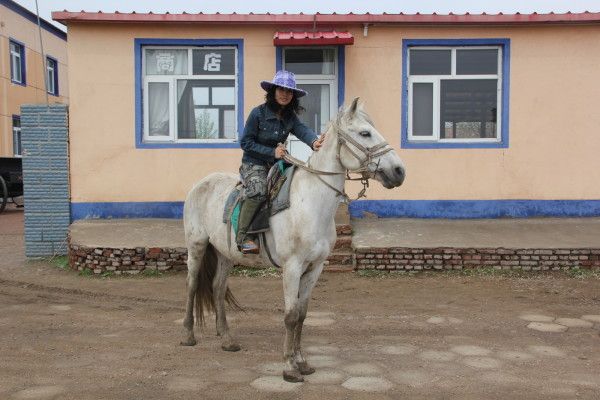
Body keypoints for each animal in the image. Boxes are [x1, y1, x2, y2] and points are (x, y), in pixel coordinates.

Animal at [180, 97, 406, 382]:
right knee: (191, 285)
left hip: (225, 254)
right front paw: (289, 367)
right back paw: (188, 335)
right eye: (365, 133)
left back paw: (227, 339)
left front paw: (302, 362)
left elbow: (301, 315)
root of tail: (199, 185)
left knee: (218, 288)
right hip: (197, 246)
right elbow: (289, 316)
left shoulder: (315, 268)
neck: (310, 205)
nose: (399, 171)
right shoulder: (292, 267)